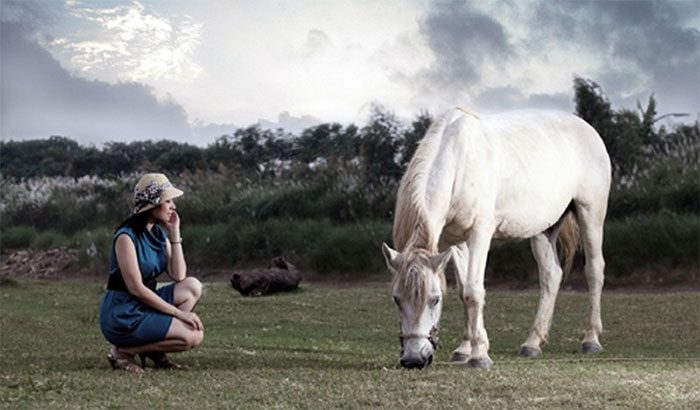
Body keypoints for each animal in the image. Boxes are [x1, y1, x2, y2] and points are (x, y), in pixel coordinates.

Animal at [382, 107, 612, 370]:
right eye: (396, 299)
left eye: (435, 299)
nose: (414, 359)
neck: (459, 160)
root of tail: (588, 130)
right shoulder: (454, 242)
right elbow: (463, 291)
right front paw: (465, 349)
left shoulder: (480, 233)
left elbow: (473, 291)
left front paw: (479, 355)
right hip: (543, 230)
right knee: (551, 275)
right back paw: (532, 343)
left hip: (590, 213)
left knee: (594, 270)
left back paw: (591, 340)